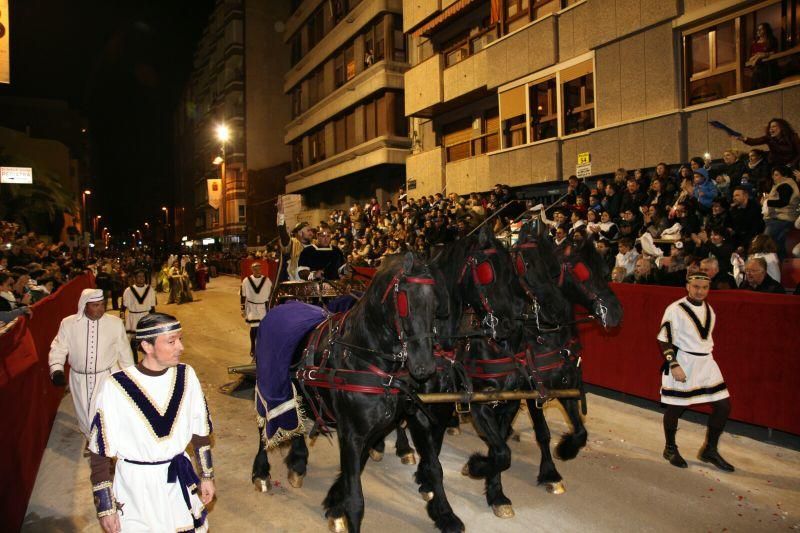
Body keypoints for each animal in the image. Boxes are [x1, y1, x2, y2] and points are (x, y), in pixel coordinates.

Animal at [252, 252, 450, 532]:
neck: (366, 357)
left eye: (435, 302)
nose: (425, 366)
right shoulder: (352, 432)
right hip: (269, 385)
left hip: (298, 390)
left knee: (298, 418)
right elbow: (356, 498)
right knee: (264, 425)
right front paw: (343, 510)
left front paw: (446, 515)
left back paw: (298, 461)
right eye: (404, 302)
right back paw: (261, 471)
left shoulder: (408, 418)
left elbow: (434, 467)